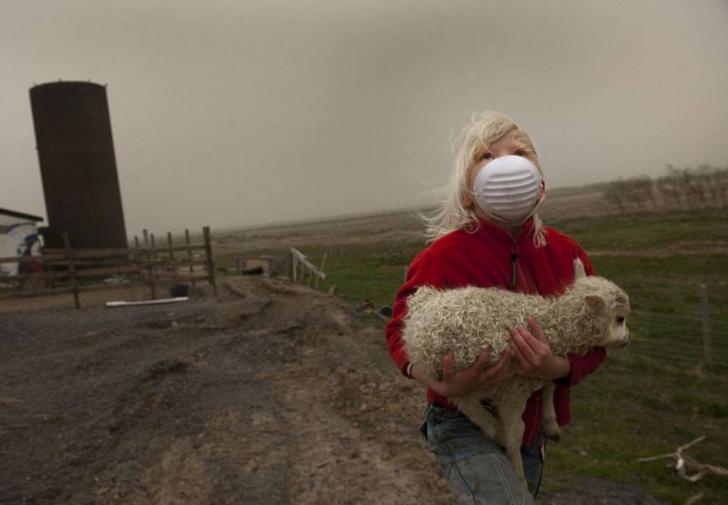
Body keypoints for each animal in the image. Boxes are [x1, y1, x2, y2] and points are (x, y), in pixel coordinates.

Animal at [400, 260, 628, 484]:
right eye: (620, 318)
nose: (627, 340)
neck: (556, 324)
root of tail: (419, 312)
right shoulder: (513, 389)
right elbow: (517, 431)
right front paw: (519, 475)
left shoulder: (541, 366)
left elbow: (550, 386)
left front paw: (551, 424)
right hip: (458, 371)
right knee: (462, 399)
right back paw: (492, 428)